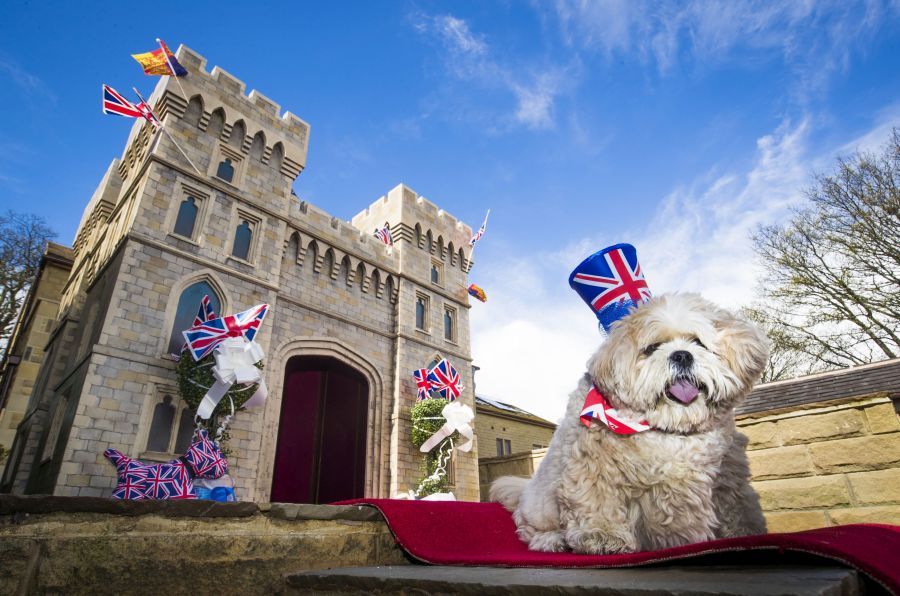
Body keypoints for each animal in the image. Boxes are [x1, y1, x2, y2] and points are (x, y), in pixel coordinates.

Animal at [492, 294, 768, 556]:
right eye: (652, 348)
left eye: (697, 342)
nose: (681, 355)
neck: (669, 429)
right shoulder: (594, 468)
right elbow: (598, 504)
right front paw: (603, 536)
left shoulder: (727, 481)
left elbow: (737, 511)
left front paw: (743, 535)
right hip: (543, 502)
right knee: (530, 529)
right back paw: (552, 540)